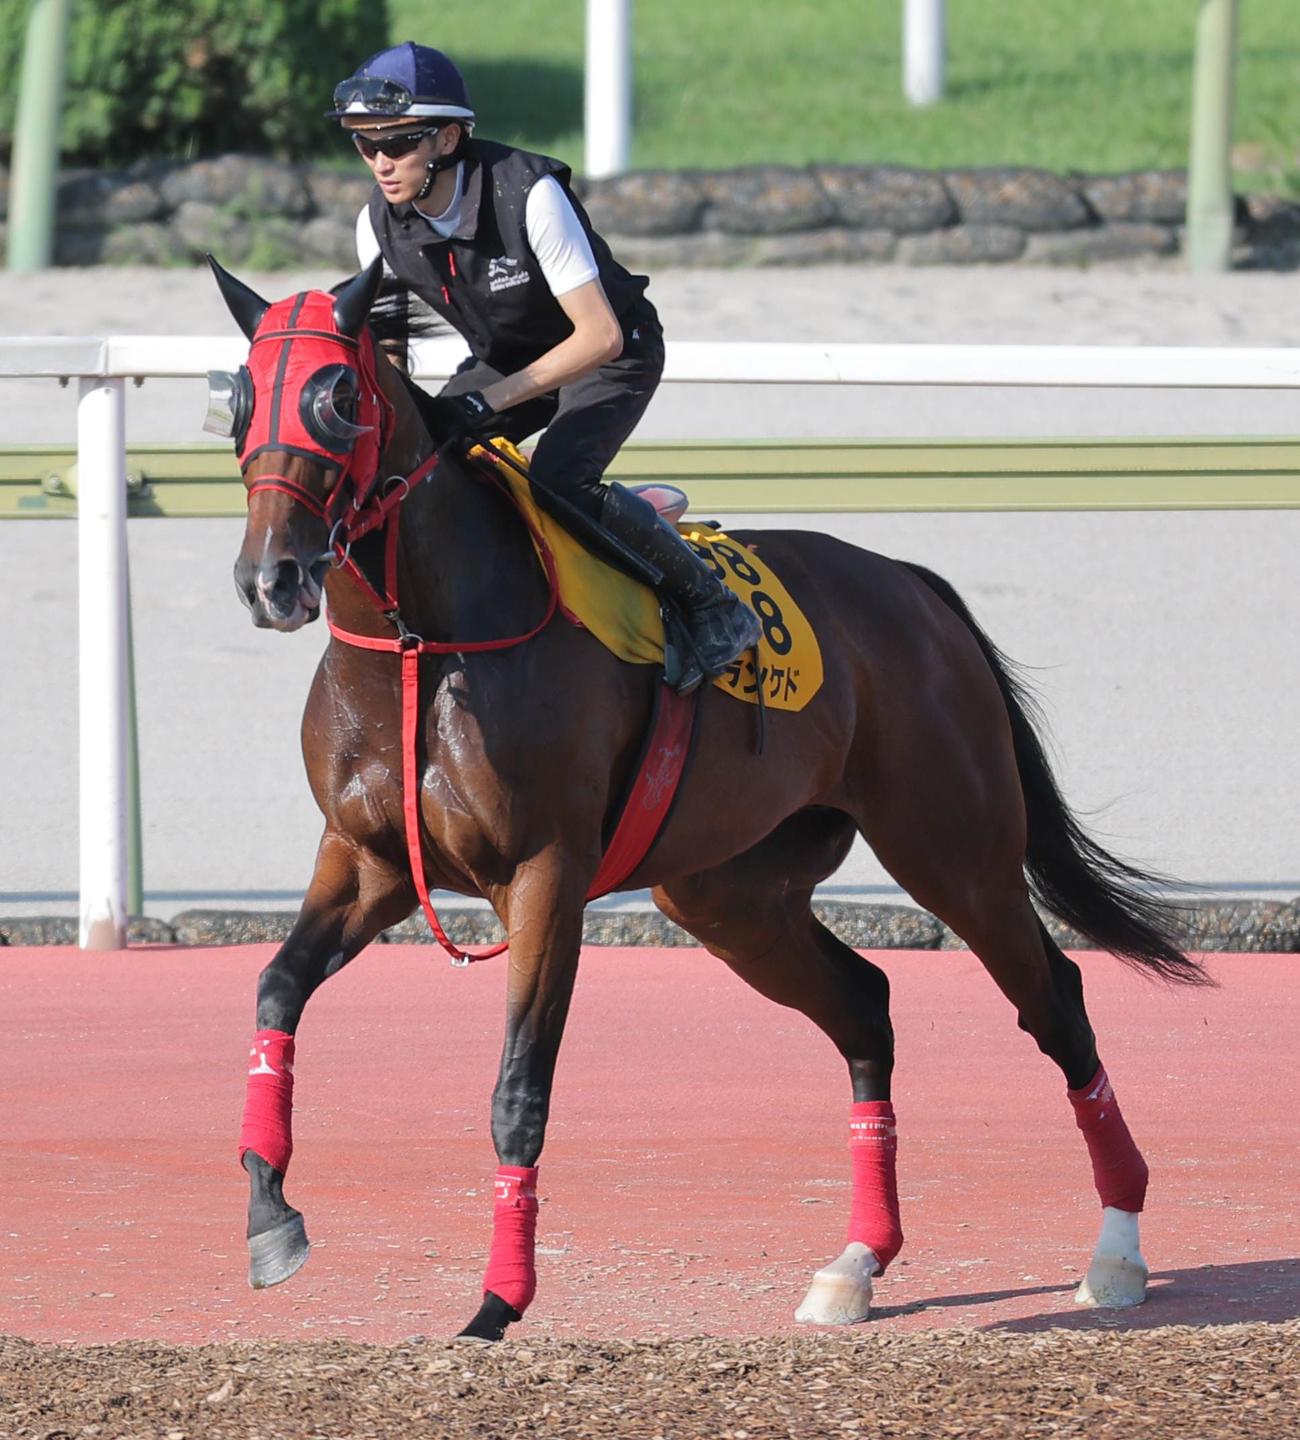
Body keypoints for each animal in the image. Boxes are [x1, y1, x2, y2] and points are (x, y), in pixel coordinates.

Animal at [209, 255, 1205, 1342]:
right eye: (239, 398)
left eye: (338, 398)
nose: (273, 577)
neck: (429, 646)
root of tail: (912, 587)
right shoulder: (369, 859)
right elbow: (276, 992)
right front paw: (269, 1218)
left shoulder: (544, 873)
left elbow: (518, 1089)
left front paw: (496, 1305)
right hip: (731, 894)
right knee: (866, 1005)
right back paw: (855, 1263)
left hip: (954, 848)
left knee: (1054, 1002)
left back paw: (1116, 1252)